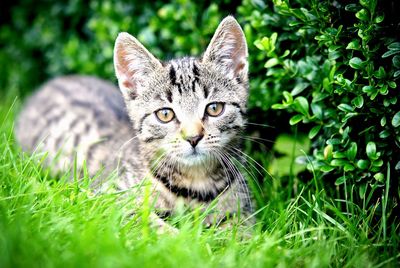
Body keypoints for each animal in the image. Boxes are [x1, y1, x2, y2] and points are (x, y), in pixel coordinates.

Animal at [16, 15, 253, 227]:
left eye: (214, 108)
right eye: (165, 114)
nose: (193, 138)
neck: (197, 184)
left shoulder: (243, 212)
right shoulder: (107, 199)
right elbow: (150, 224)